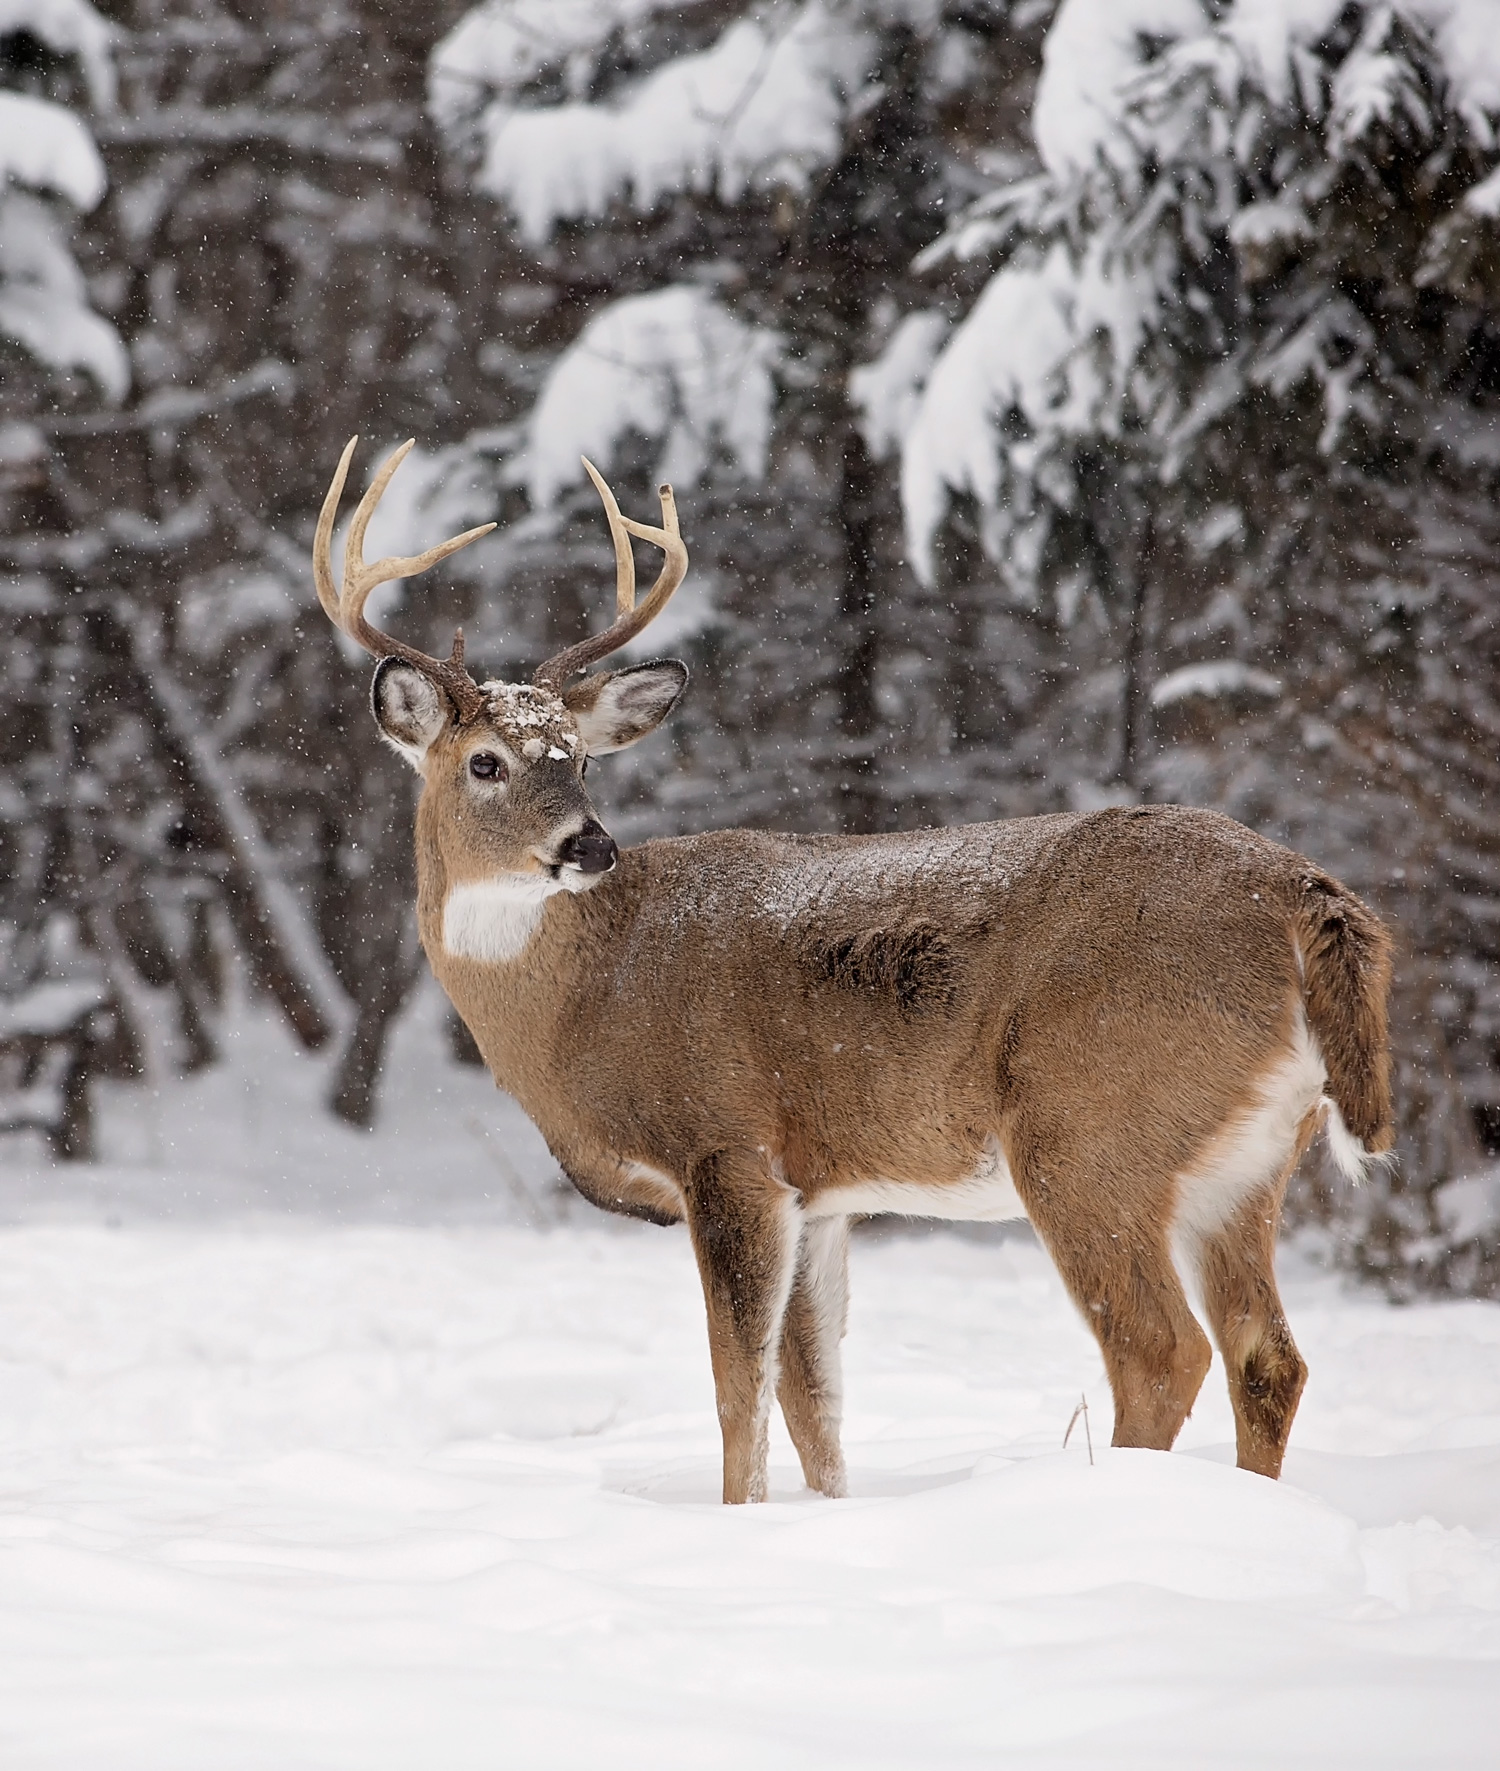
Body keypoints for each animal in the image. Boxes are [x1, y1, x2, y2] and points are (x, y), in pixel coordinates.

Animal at [308, 442, 1395, 1508]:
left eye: (578, 760)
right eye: (486, 763)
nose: (590, 844)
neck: (591, 993)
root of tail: (1305, 894)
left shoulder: (728, 1145)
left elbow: (739, 1390)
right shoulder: (819, 1191)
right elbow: (814, 1405)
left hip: (1091, 1128)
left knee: (1161, 1351)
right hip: (1248, 1158)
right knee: (1269, 1358)